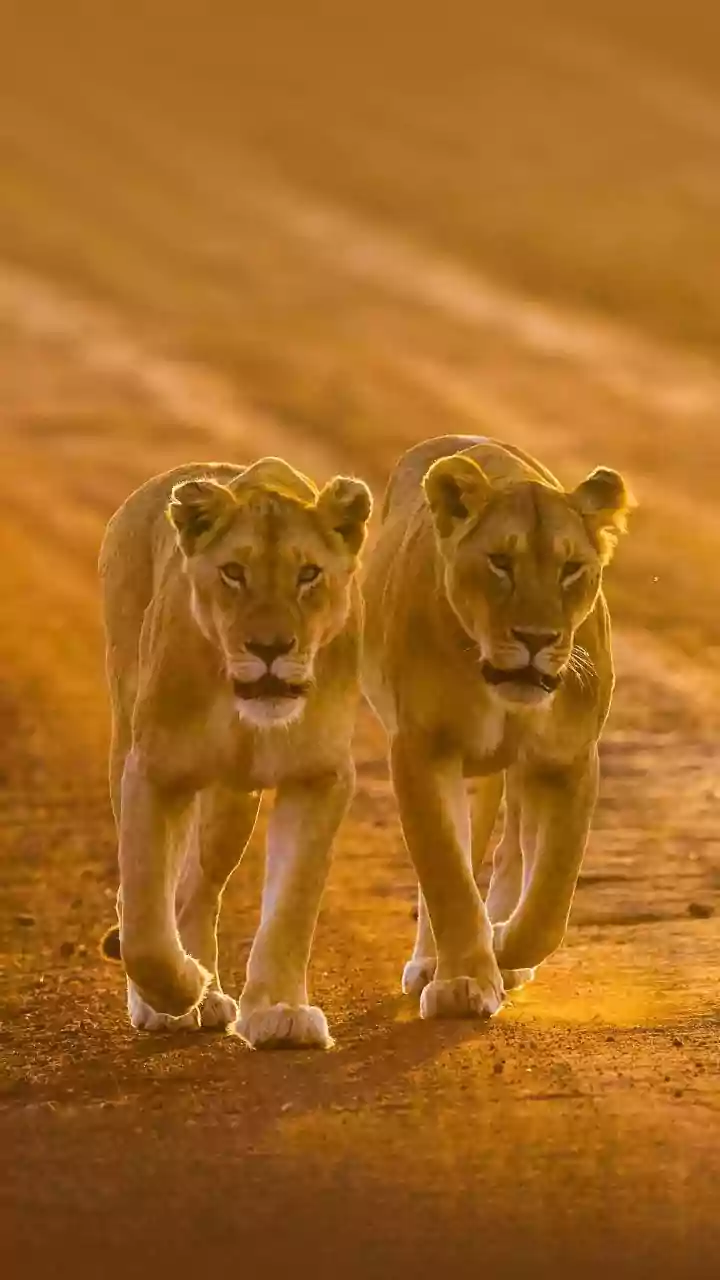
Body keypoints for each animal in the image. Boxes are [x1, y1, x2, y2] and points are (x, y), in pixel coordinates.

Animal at [99, 455, 372, 1047]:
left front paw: (280, 1012)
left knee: (197, 892)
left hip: (231, 803)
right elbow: (144, 921)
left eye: (308, 574)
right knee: (149, 899)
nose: (270, 648)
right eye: (233, 573)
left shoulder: (320, 776)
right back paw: (182, 997)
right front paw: (176, 993)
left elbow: (293, 903)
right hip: (127, 735)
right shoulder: (154, 771)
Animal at [362, 434, 633, 1019]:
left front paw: (504, 945)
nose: (536, 638)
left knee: (513, 852)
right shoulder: (422, 750)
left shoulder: (569, 759)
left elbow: (551, 895)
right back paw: (433, 963)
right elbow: (446, 871)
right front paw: (464, 979)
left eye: (571, 568)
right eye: (500, 563)